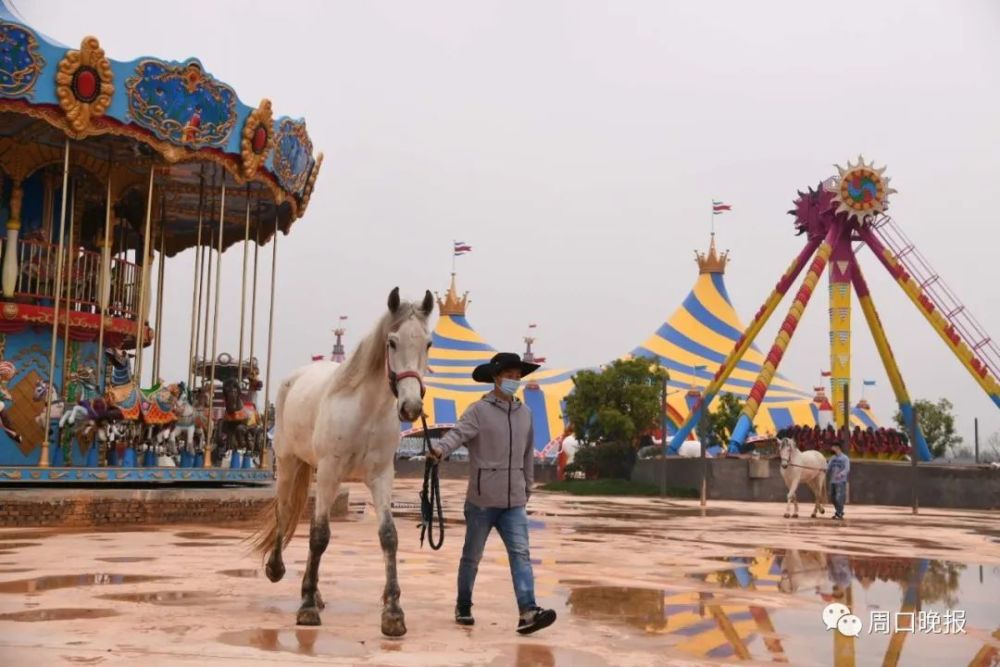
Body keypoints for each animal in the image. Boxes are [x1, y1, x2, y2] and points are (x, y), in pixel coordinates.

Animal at [250, 288, 430, 636]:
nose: (411, 407)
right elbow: (319, 534)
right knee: (285, 510)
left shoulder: (381, 475)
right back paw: (279, 570)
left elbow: (388, 536)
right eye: (392, 342)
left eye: (427, 343)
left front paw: (393, 613)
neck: (366, 410)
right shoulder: (330, 471)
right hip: (288, 463)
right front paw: (306, 607)